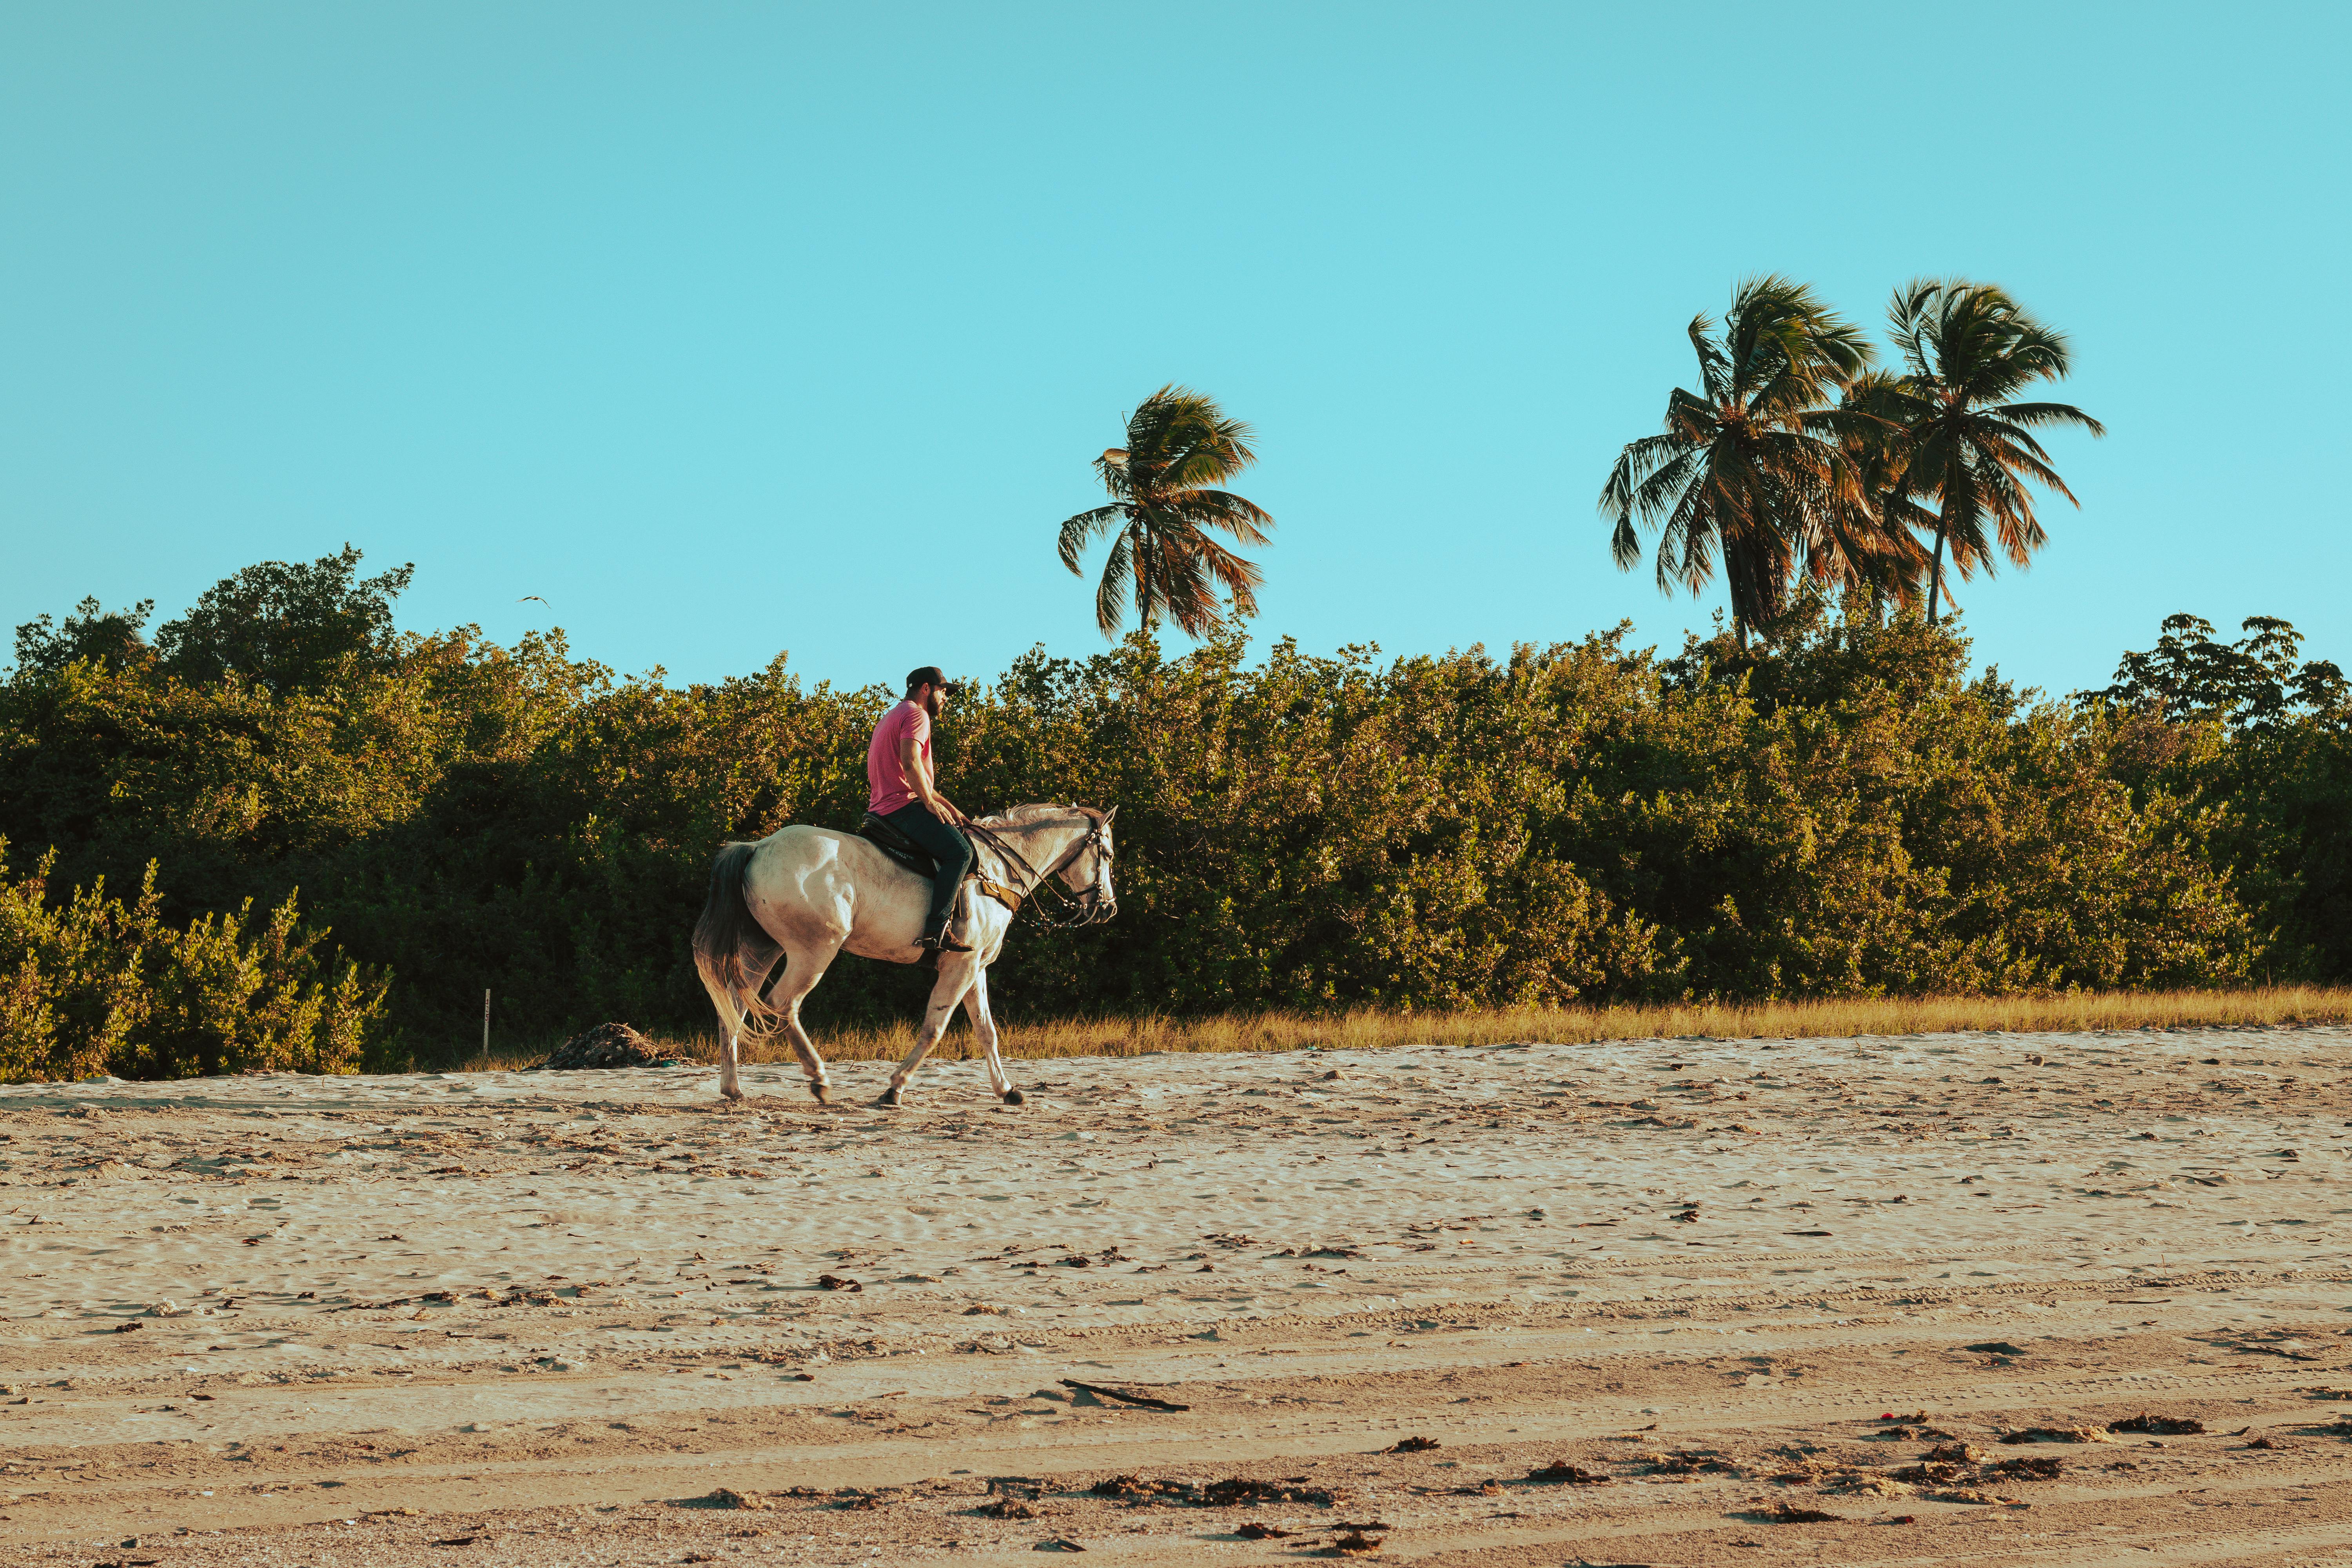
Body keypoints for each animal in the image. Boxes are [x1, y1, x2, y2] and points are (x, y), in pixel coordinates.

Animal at [687, 804, 1115, 1109]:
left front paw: (1008, 1090)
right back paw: (819, 1079)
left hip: (764, 949)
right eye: (1108, 854)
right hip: (813, 952)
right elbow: (934, 1029)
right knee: (782, 1006)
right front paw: (894, 1089)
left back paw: (734, 1088)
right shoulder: (959, 967)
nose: (1108, 908)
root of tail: (758, 848)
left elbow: (987, 1032)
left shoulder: (975, 968)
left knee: (734, 1007)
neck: (996, 872)